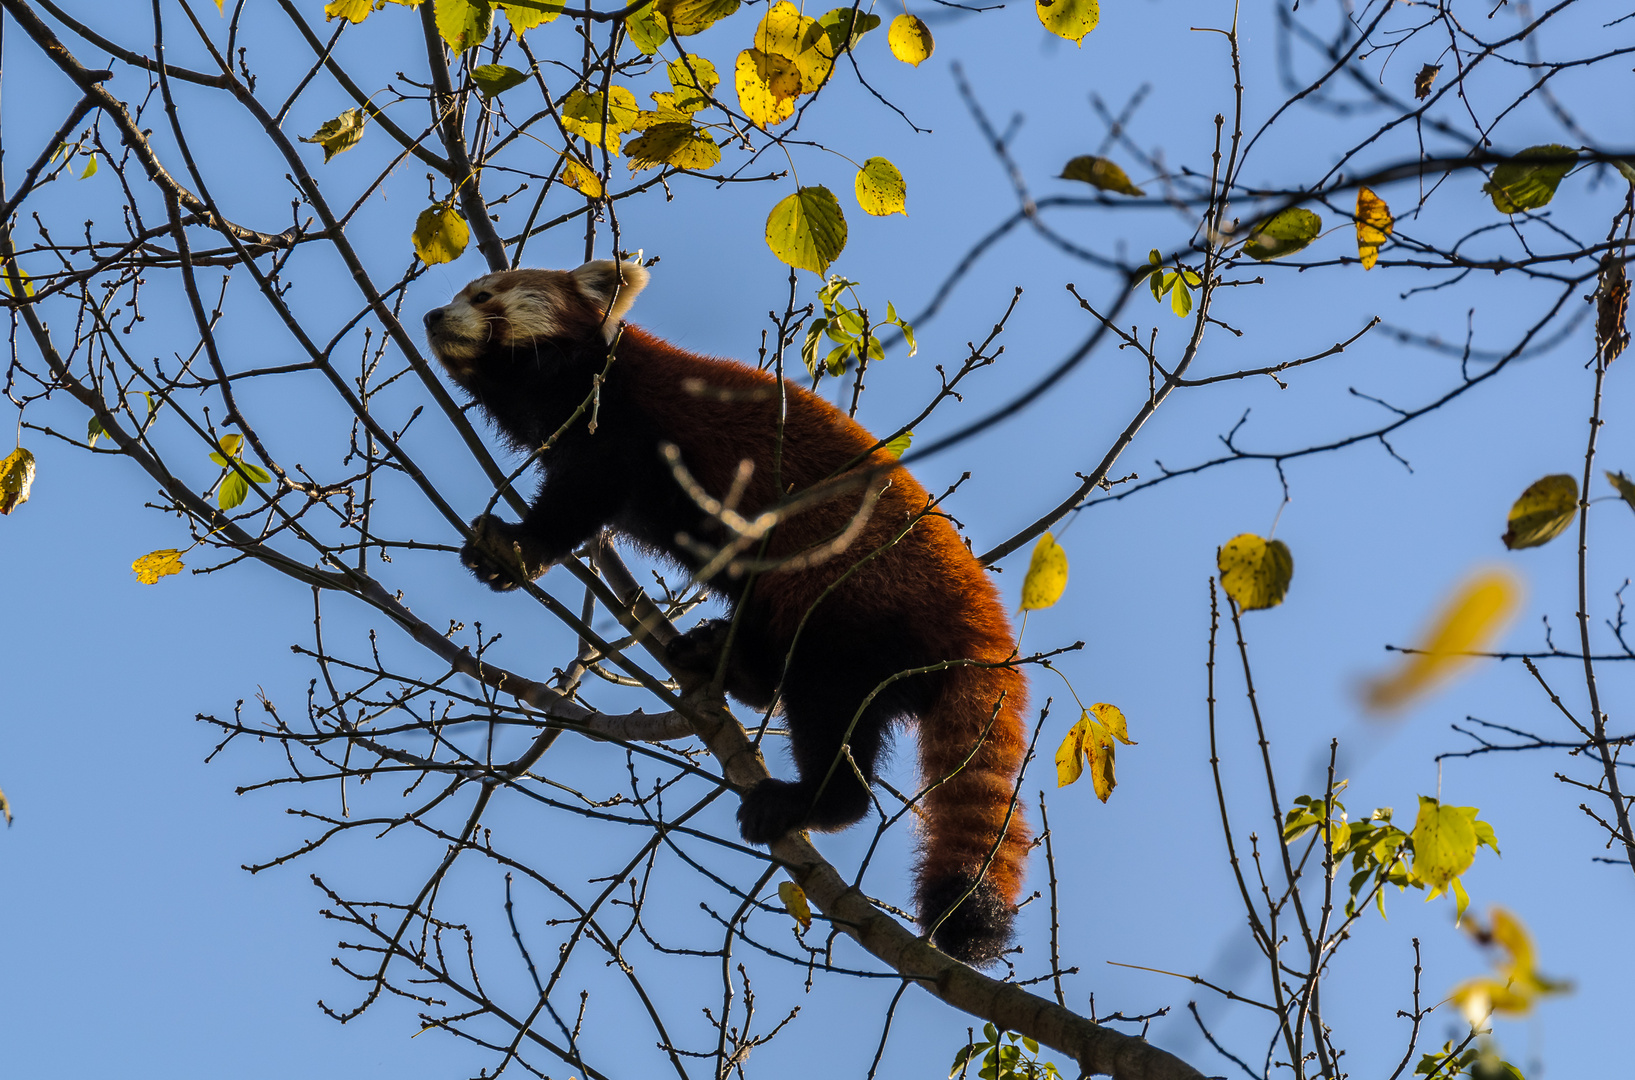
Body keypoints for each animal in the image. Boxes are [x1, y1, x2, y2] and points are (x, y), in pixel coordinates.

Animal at [428, 259, 1026, 960]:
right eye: (459, 293)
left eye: (482, 296)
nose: (432, 316)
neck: (563, 383)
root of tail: (981, 630)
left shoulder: (625, 424)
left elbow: (584, 496)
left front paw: (516, 546)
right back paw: (725, 658)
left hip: (850, 604)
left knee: (827, 709)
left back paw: (808, 801)